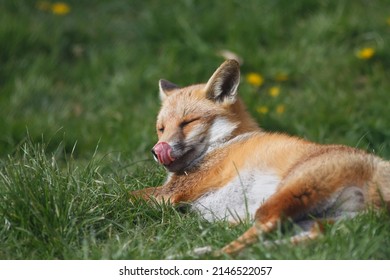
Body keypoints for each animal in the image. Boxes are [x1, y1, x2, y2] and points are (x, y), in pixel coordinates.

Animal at [131, 59, 390, 256]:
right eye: (161, 128)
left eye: (188, 122)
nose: (157, 150)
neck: (223, 143)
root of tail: (377, 165)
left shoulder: (172, 194)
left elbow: (127, 195)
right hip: (325, 222)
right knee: (297, 241)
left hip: (286, 196)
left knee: (263, 228)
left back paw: (205, 255)